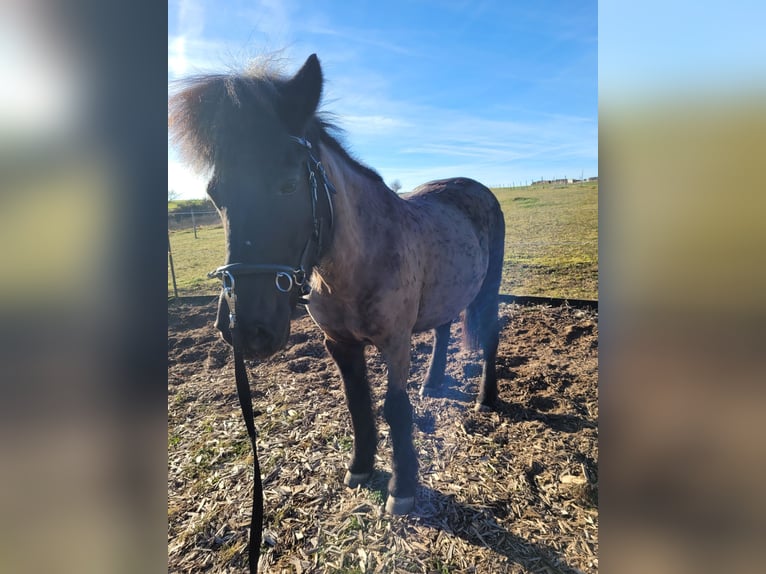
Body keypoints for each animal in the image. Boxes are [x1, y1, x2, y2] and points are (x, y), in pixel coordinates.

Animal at [169, 52, 505, 525]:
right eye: (215, 194)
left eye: (289, 183)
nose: (245, 328)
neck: (357, 262)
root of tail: (473, 187)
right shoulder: (339, 343)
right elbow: (356, 402)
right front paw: (361, 467)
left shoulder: (395, 341)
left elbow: (394, 409)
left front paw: (403, 489)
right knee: (442, 329)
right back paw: (433, 382)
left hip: (488, 287)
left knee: (491, 332)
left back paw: (485, 399)